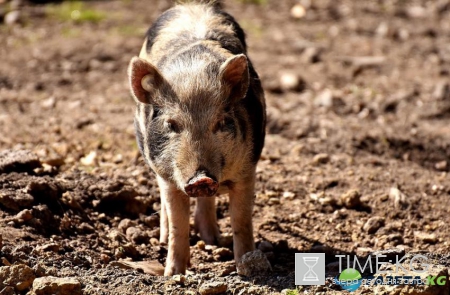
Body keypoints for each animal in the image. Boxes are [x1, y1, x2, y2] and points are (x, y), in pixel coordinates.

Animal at [126, 0, 266, 278]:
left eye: (221, 123)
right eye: (171, 124)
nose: (201, 178)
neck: (194, 75)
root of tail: (192, 6)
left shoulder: (248, 169)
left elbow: (242, 221)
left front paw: (247, 269)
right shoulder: (168, 177)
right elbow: (178, 223)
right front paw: (173, 274)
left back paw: (213, 239)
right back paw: (164, 238)